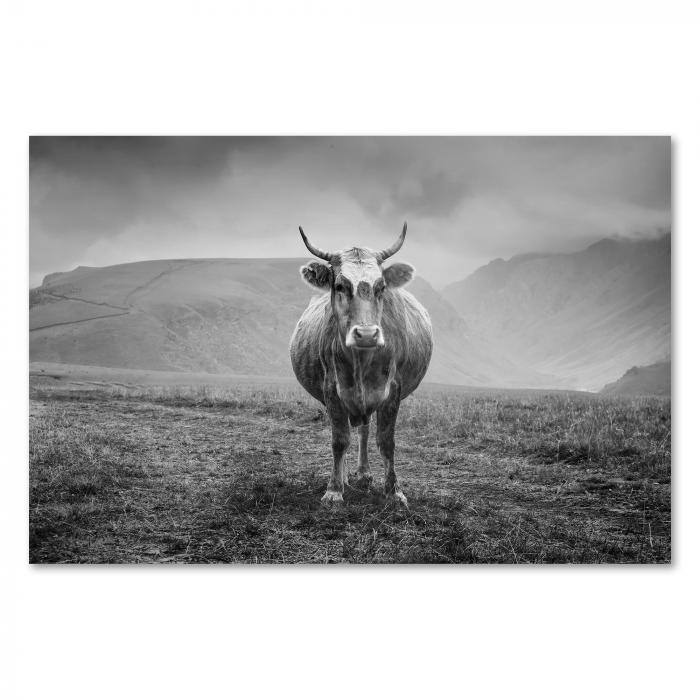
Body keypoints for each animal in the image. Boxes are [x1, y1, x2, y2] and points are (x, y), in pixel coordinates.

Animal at [290, 223, 432, 504]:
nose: (366, 334)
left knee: (364, 431)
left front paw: (394, 491)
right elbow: (339, 440)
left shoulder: (392, 389)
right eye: (339, 285)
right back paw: (345, 476)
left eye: (381, 286)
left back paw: (364, 473)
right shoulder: (332, 388)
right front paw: (334, 489)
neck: (362, 360)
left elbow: (386, 441)